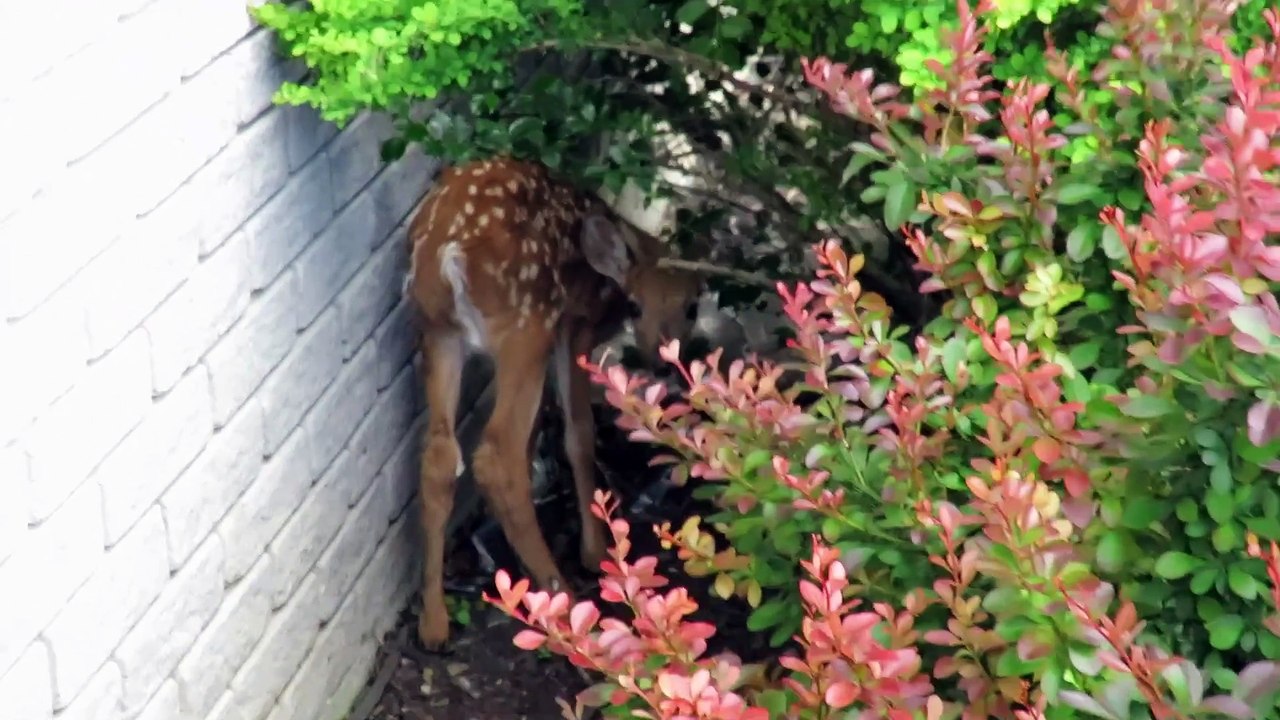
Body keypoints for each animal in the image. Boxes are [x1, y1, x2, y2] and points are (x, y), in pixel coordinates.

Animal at [405, 155, 722, 650]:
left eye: (690, 307)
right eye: (635, 306)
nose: (661, 357)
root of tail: (448, 251)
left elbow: (538, 432)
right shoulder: (573, 327)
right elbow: (578, 430)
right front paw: (594, 550)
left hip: (439, 331)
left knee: (439, 456)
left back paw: (434, 624)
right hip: (525, 325)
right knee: (495, 454)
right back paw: (562, 596)